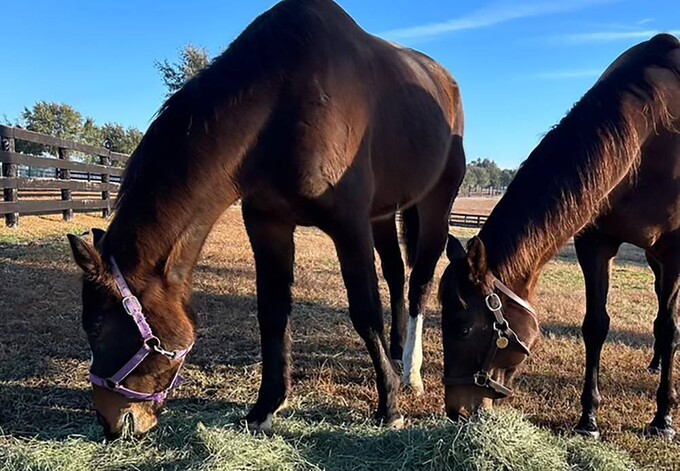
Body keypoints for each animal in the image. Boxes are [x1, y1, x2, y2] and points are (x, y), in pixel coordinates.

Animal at [66, 0, 464, 442]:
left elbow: (364, 311)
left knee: (420, 282)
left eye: (96, 328)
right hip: (382, 214)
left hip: (435, 204)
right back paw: (395, 354)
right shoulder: (267, 224)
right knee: (395, 274)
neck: (282, 103)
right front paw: (266, 407)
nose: (110, 422)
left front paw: (389, 406)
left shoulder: (349, 225)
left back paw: (410, 373)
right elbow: (272, 314)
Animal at [438, 33, 676, 438]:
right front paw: (588, 418)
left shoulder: (676, 250)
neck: (651, 135)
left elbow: (669, 328)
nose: (456, 411)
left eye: (463, 327)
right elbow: (595, 325)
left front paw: (662, 417)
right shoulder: (595, 244)